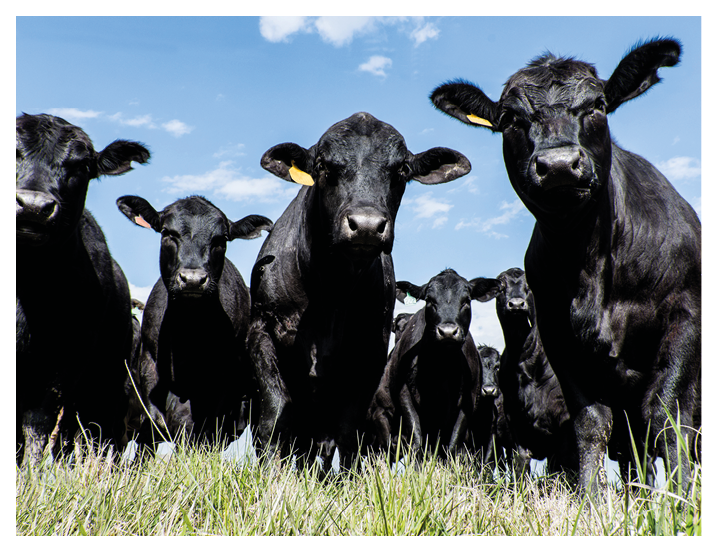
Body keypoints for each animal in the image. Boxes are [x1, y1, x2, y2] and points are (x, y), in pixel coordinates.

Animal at [116, 195, 273, 450]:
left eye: (221, 239)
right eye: (167, 233)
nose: (192, 280)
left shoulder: (222, 379)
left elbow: (199, 429)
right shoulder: (149, 365)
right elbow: (157, 421)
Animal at [248, 112, 471, 472]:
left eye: (402, 169)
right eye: (323, 165)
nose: (366, 225)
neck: (331, 291)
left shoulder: (369, 352)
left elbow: (346, 429)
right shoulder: (262, 331)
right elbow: (275, 413)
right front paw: (270, 473)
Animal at [431, 38, 701, 496]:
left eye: (598, 104)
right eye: (510, 118)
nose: (558, 164)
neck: (590, 259)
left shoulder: (686, 314)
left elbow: (667, 415)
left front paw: (680, 503)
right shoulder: (561, 336)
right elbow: (590, 424)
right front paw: (591, 502)